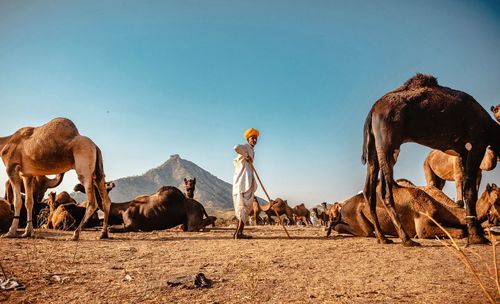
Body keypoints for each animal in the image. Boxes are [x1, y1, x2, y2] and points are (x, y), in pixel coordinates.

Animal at [326, 183, 498, 240]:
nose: (496, 219)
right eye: (498, 198)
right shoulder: (423, 226)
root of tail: (342, 206)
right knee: (363, 231)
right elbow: (460, 232)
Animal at [364, 73, 500, 245]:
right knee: (386, 192)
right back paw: (406, 239)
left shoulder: (463, 151)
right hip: (389, 144)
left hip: (374, 148)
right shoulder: (476, 143)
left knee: (369, 189)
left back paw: (382, 238)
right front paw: (477, 237)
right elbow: (469, 191)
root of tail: (372, 111)